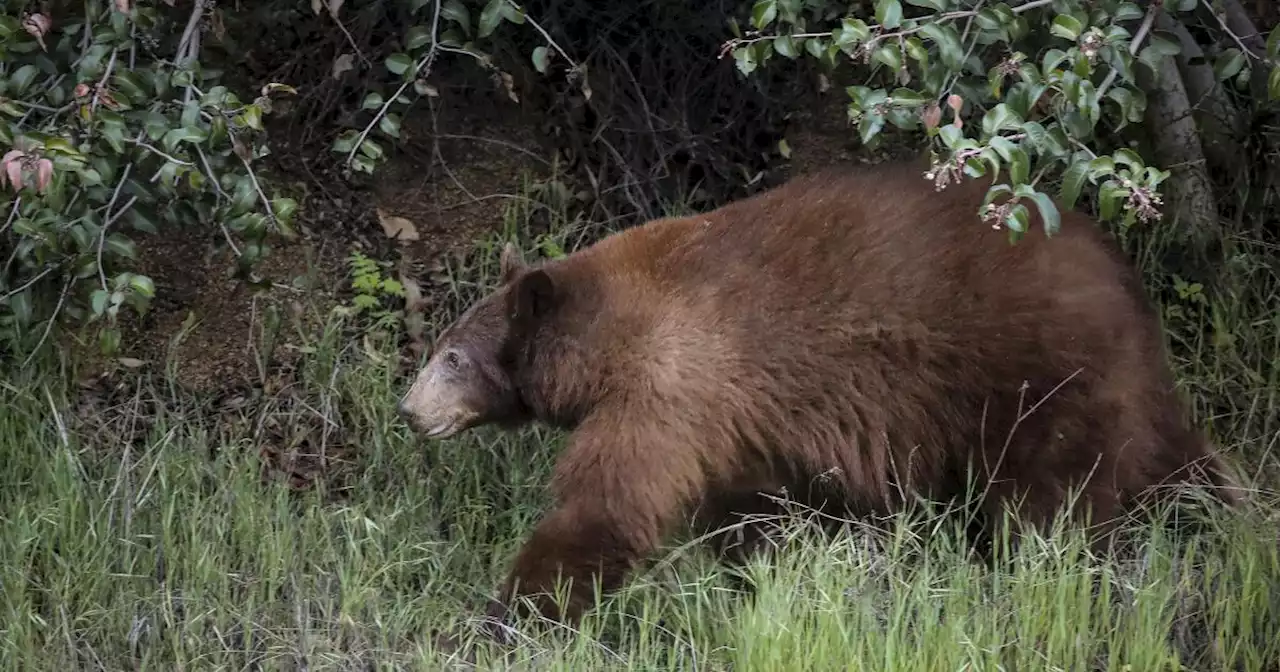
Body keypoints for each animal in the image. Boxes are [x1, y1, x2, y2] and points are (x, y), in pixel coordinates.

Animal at [396, 156, 1239, 640]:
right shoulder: (733, 421)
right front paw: (764, 585)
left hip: (1037, 374)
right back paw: (1223, 521)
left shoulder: (668, 387)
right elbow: (754, 514)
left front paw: (508, 615)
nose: (408, 410)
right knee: (1169, 458)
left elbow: (606, 506)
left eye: (452, 356)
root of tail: (1119, 275)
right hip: (1117, 384)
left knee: (1053, 502)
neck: (605, 336)